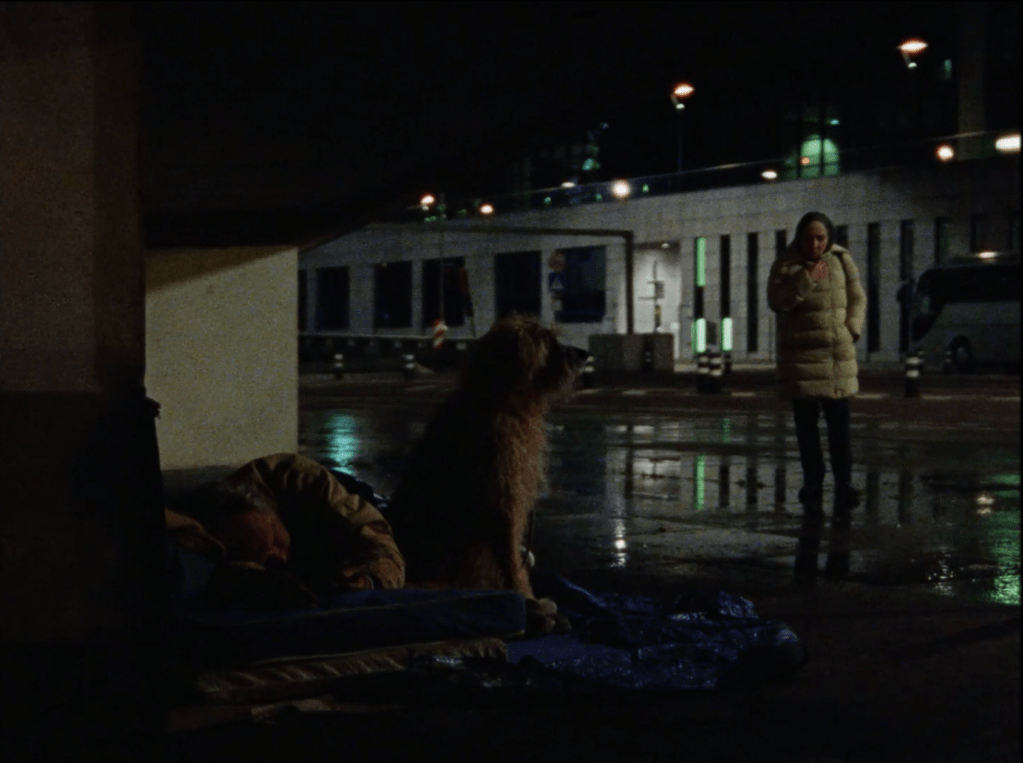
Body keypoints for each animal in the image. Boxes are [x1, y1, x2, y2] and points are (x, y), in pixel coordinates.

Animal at [385, 314, 587, 634]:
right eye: (548, 341)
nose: (584, 354)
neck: (500, 396)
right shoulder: (504, 499)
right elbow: (512, 561)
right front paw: (528, 599)